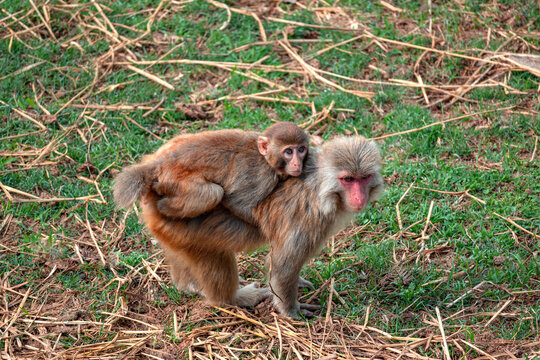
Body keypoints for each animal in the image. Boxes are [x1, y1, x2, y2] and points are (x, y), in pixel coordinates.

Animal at [113, 122, 308, 224]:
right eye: (288, 152)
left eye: (301, 149)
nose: (297, 163)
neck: (266, 158)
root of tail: (160, 162)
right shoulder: (261, 178)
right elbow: (236, 203)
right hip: (174, 181)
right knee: (212, 193)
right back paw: (163, 207)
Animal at [139, 136, 384, 318]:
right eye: (348, 179)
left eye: (364, 178)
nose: (359, 198)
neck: (321, 186)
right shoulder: (309, 218)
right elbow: (283, 265)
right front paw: (292, 311)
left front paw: (298, 283)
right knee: (215, 255)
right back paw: (233, 299)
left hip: (170, 229)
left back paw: (188, 285)